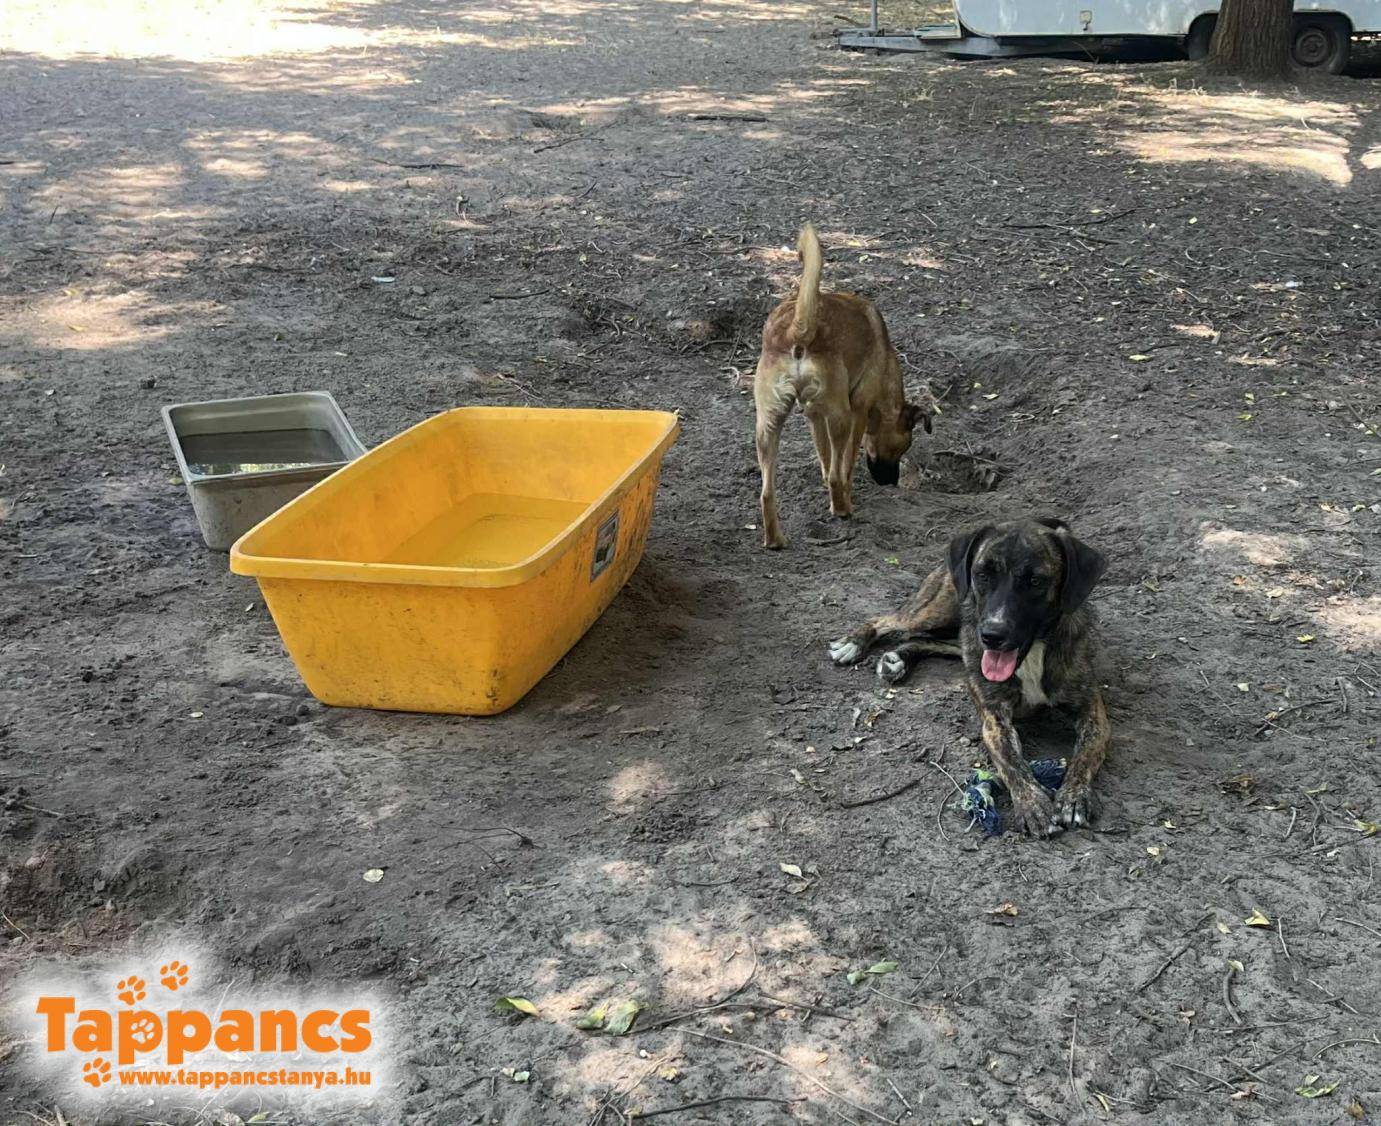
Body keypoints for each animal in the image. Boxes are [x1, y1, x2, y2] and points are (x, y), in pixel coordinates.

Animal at [753, 222, 931, 549]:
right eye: (904, 446)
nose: (890, 482)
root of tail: (799, 328)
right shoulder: (858, 410)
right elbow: (844, 464)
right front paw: (846, 493)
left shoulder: (813, 414)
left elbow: (825, 459)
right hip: (840, 417)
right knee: (837, 473)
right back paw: (842, 510)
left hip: (768, 424)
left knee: (767, 492)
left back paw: (775, 539)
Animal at [828, 517, 1110, 837]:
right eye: (982, 574)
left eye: (1036, 581)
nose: (993, 634)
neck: (1033, 653)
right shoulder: (994, 719)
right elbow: (1012, 762)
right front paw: (1032, 803)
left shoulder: (1092, 711)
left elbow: (1085, 753)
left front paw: (1074, 795)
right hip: (940, 613)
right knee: (888, 620)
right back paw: (853, 643)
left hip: (964, 634)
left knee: (934, 642)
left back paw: (898, 659)